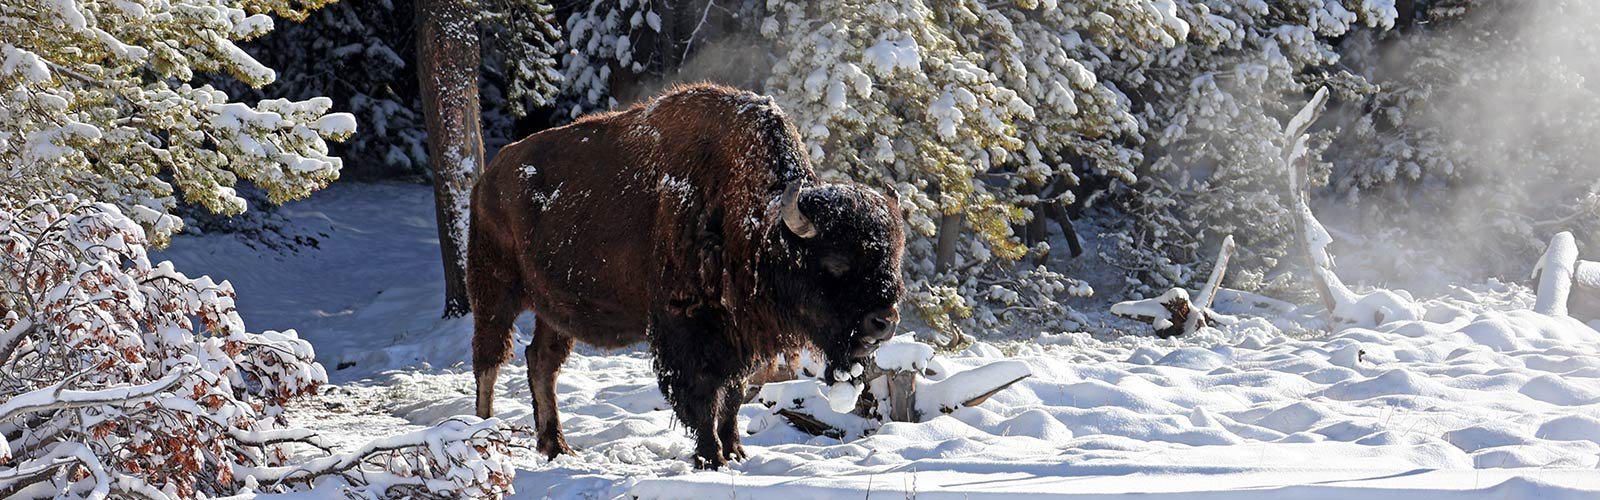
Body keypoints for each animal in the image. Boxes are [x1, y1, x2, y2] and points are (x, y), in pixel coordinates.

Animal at [467, 83, 906, 469]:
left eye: (893, 256)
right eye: (836, 261)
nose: (883, 321)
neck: (758, 224)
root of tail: (487, 178)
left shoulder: (739, 338)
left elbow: (732, 397)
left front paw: (736, 452)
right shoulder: (686, 326)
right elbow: (703, 395)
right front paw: (711, 457)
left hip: (555, 311)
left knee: (541, 362)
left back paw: (556, 446)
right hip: (495, 292)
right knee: (489, 359)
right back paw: (481, 433)